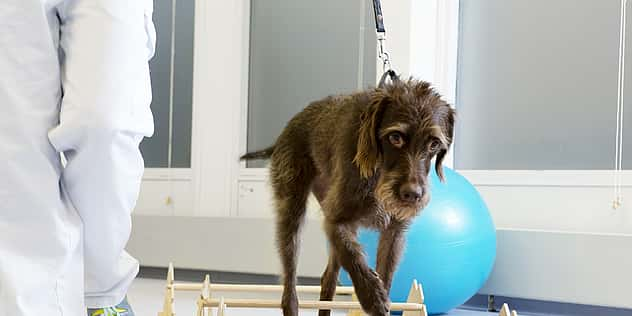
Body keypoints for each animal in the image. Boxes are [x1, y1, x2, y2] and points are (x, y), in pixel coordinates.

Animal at [242, 78, 454, 314]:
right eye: (395, 137)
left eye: (434, 144)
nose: (412, 195)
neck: (377, 173)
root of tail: (283, 135)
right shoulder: (335, 221)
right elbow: (352, 256)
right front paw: (372, 296)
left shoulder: (394, 233)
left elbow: (384, 273)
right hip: (292, 212)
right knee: (290, 282)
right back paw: (291, 302)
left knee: (328, 279)